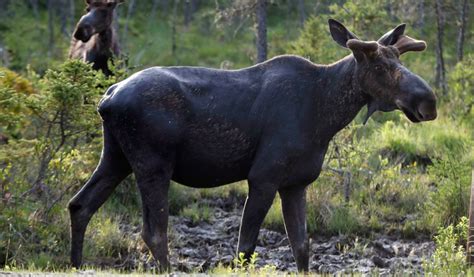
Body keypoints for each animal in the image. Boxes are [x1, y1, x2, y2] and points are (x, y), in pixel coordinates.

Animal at [67, 19, 436, 272]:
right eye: (381, 65)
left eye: (400, 60)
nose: (428, 101)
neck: (326, 113)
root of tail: (107, 99)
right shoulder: (263, 177)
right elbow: (244, 248)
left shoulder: (295, 183)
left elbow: (302, 247)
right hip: (152, 164)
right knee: (154, 233)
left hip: (116, 158)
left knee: (80, 205)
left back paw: (75, 265)